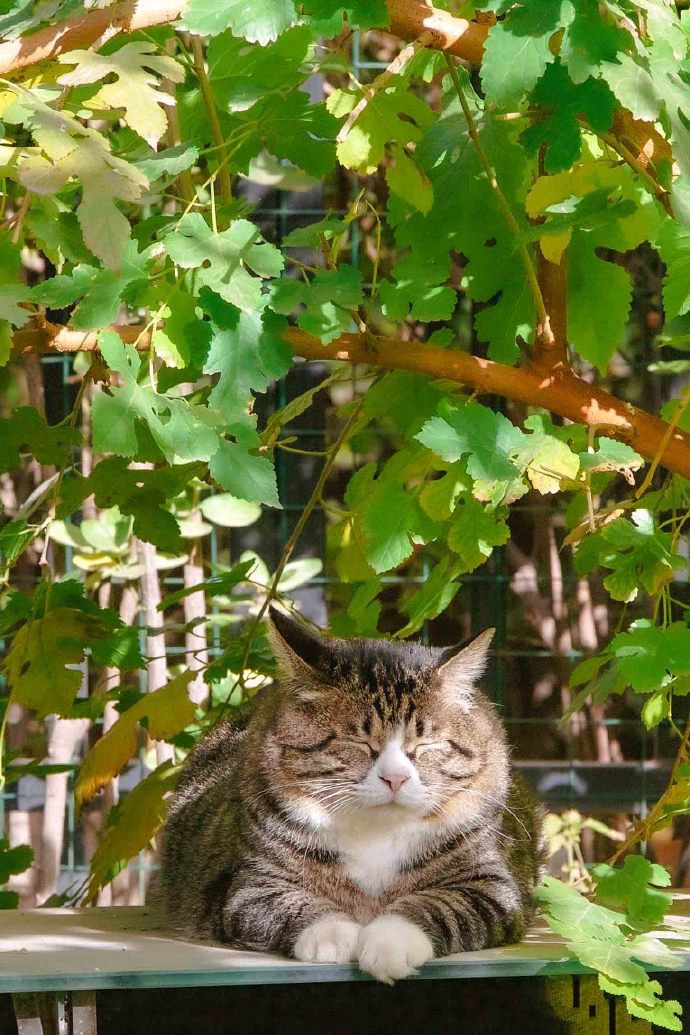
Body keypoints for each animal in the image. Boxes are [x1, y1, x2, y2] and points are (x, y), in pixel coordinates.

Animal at [158, 608, 546, 981]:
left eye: (425, 743)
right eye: (358, 742)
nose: (395, 778)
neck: (377, 833)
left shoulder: (491, 886)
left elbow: (441, 905)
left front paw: (389, 944)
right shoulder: (250, 885)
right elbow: (284, 903)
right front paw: (331, 936)